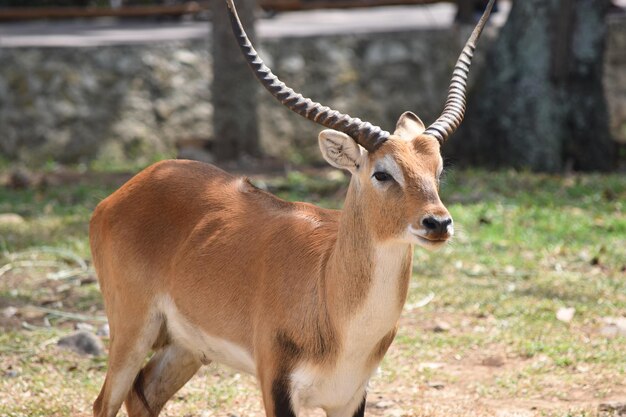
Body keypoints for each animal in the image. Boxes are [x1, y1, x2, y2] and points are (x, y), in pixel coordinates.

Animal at [90, 0, 494, 416]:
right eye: (382, 173)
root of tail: (127, 189)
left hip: (186, 347)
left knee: (143, 392)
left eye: (438, 170)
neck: (328, 295)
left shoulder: (349, 397)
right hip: (131, 330)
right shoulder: (277, 388)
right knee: (105, 401)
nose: (438, 223)